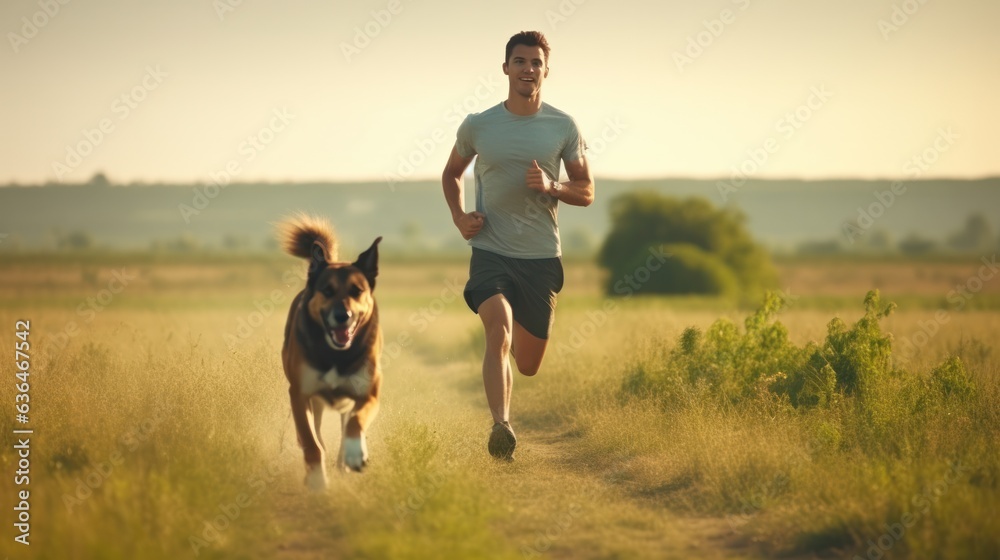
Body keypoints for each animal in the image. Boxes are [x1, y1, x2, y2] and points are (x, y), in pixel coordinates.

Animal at [278, 214, 382, 490]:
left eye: (357, 291)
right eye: (327, 290)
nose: (342, 316)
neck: (337, 353)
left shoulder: (368, 394)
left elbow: (356, 423)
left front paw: (355, 454)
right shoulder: (300, 393)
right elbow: (311, 441)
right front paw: (316, 479)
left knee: (346, 424)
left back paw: (346, 459)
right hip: (314, 402)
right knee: (314, 433)